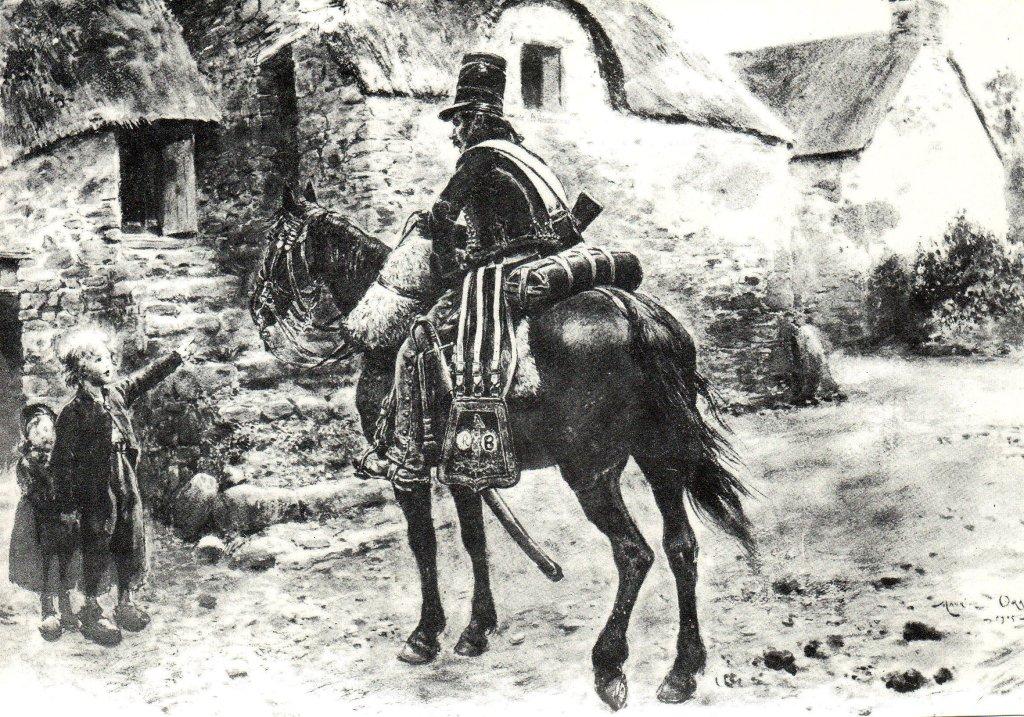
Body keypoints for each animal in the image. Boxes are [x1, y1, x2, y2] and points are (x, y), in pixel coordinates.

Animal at [249, 185, 754, 710]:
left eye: (275, 245)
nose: (257, 308)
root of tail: (631, 312)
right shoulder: (462, 466)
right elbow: (475, 540)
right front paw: (476, 629)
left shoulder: (408, 469)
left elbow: (423, 543)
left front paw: (424, 635)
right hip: (661, 459)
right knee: (681, 547)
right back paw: (683, 670)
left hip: (592, 473)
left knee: (634, 553)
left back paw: (609, 664)